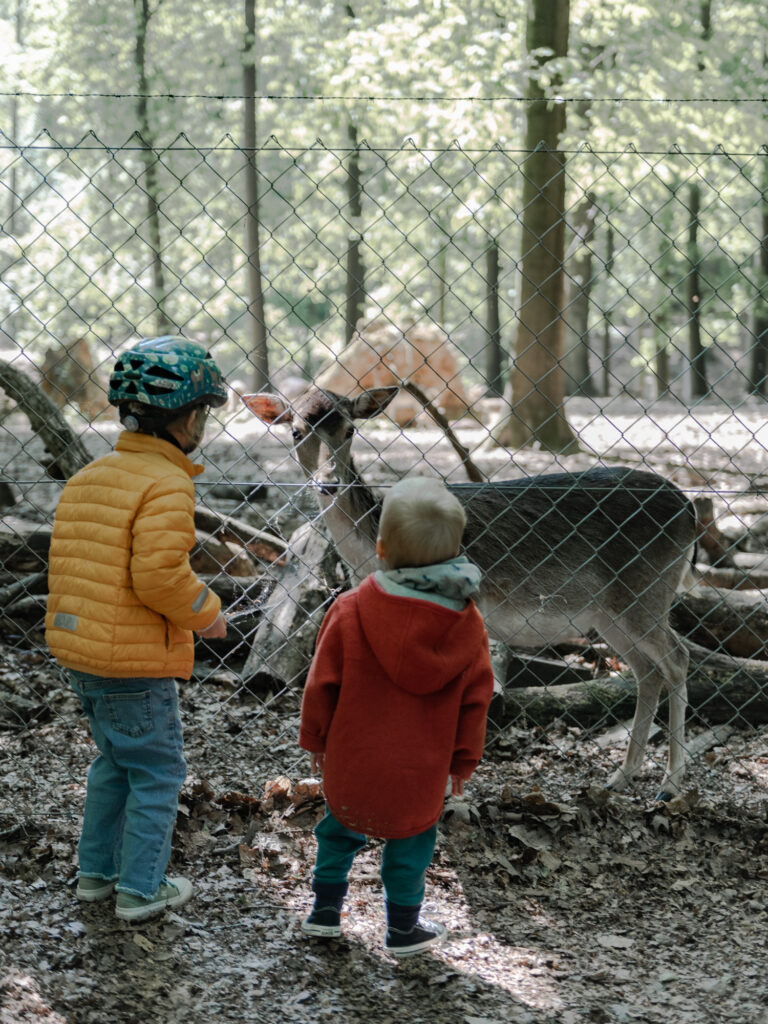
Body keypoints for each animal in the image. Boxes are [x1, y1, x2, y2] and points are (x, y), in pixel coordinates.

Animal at [244, 385, 696, 798]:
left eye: (350, 429)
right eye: (296, 431)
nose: (328, 483)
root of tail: (691, 510)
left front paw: (442, 791)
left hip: (646, 592)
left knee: (677, 659)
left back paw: (671, 783)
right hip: (610, 611)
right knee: (647, 671)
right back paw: (621, 775)